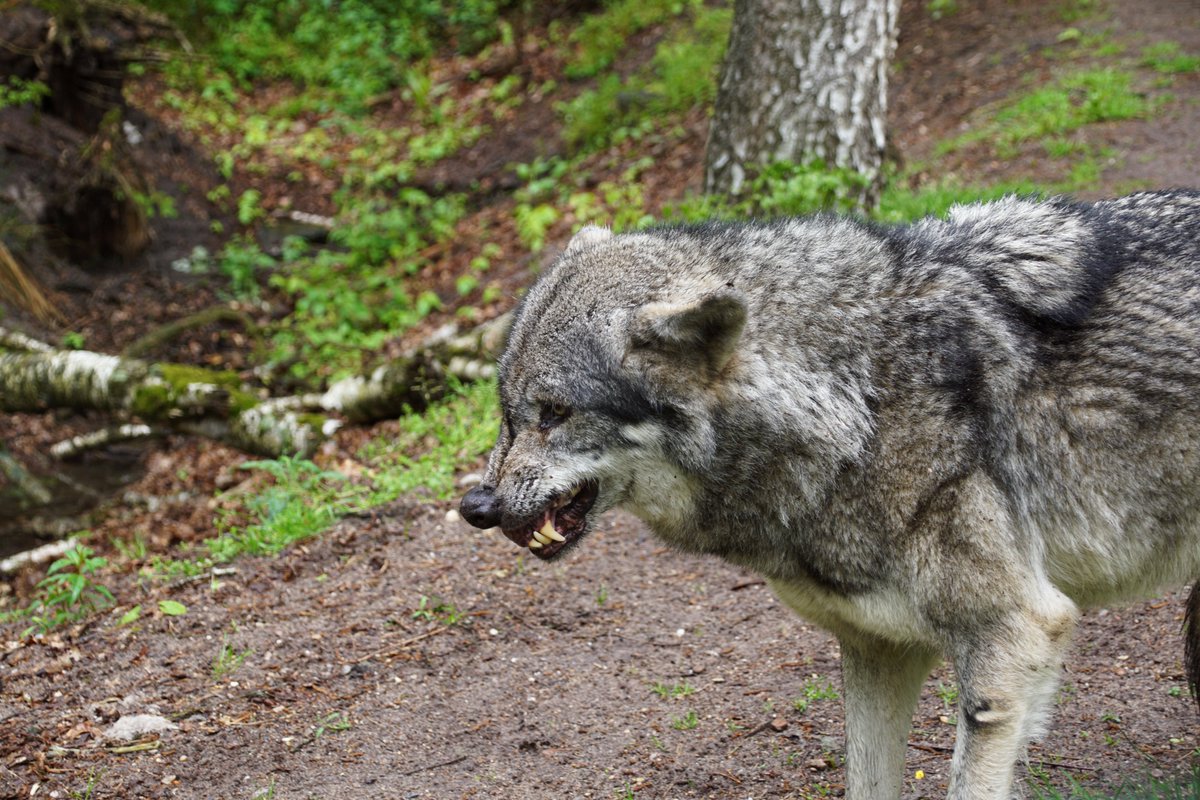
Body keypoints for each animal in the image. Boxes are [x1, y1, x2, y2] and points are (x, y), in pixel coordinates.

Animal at [460, 190, 1200, 799]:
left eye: (555, 413)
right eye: (506, 413)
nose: (476, 508)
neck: (858, 398)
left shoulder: (1014, 635)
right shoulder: (879, 648)